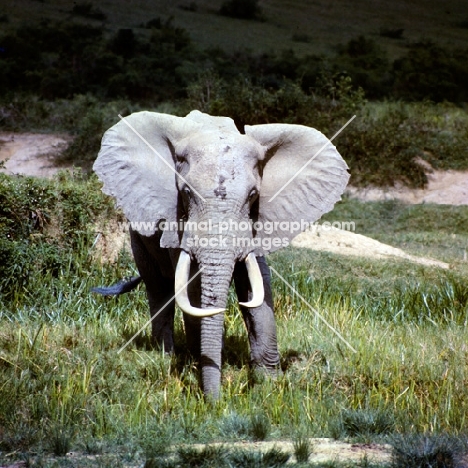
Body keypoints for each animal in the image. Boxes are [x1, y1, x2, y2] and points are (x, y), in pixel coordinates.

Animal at [93, 109, 350, 398]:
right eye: (186, 193)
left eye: (253, 195)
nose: (215, 403)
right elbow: (192, 287)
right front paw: (202, 367)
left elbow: (258, 286)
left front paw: (270, 385)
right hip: (136, 232)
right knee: (158, 287)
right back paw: (165, 356)